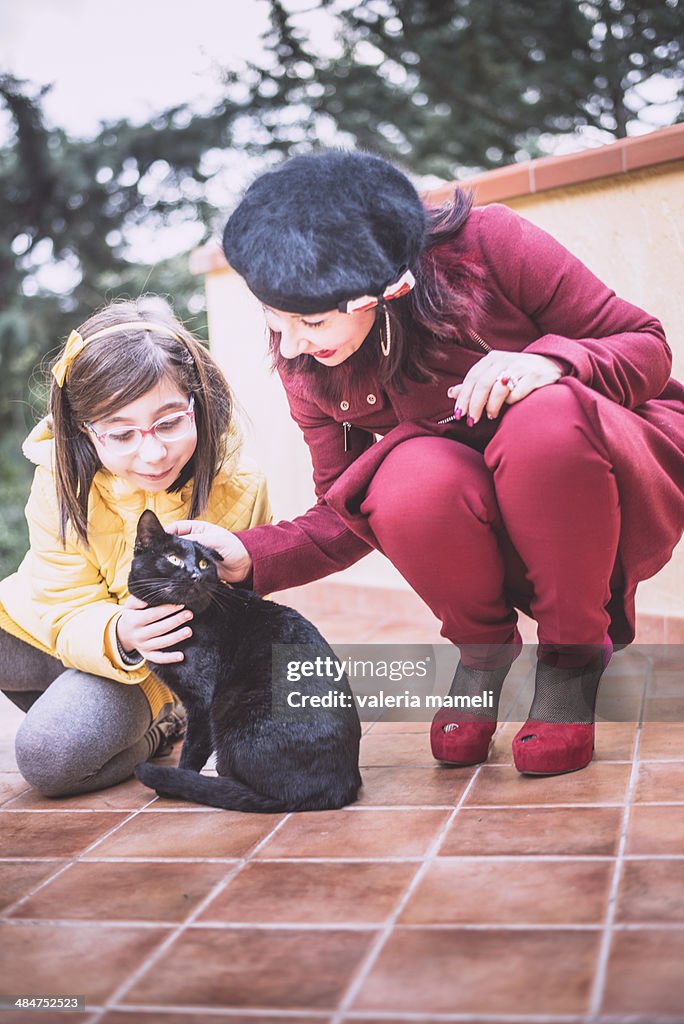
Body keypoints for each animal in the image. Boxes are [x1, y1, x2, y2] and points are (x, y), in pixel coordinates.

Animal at [129, 507, 362, 811]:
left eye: (203, 563)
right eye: (174, 558)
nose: (195, 573)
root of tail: (339, 787)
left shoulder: (202, 704)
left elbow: (192, 749)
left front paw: (176, 781)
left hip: (231, 709)